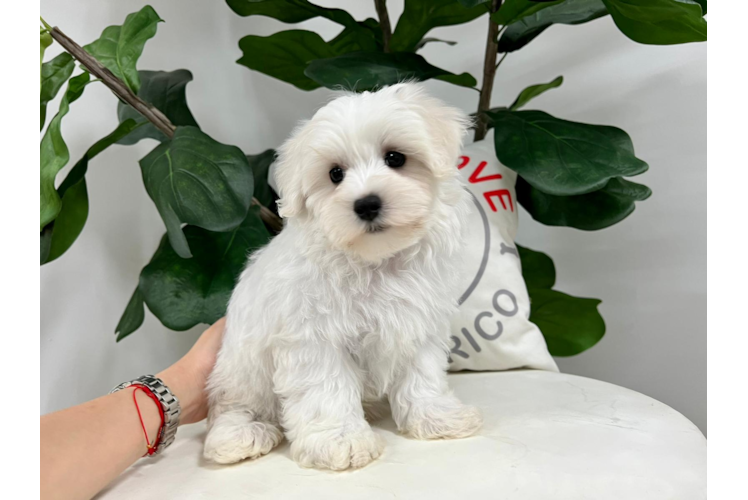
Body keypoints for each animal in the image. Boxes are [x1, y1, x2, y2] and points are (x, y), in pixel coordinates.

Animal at [205, 82, 482, 468]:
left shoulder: (419, 323)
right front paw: (339, 440)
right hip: (240, 368)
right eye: (335, 174)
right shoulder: (313, 337)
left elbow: (422, 374)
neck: (375, 261)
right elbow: (327, 388)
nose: (366, 204)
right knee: (232, 405)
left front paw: (437, 416)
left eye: (395, 158)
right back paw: (242, 435)